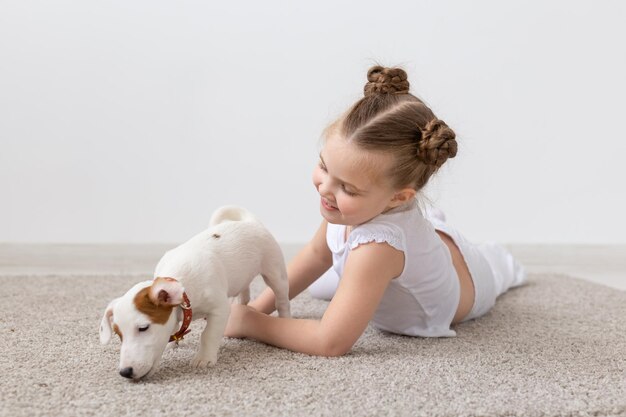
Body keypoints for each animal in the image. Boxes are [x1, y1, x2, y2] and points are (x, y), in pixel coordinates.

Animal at [98, 206, 292, 378]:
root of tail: (250, 222)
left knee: (282, 300)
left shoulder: (219, 309)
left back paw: (285, 319)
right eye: (118, 334)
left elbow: (208, 334)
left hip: (275, 273)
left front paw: (204, 359)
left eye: (143, 328)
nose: (125, 372)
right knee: (244, 292)